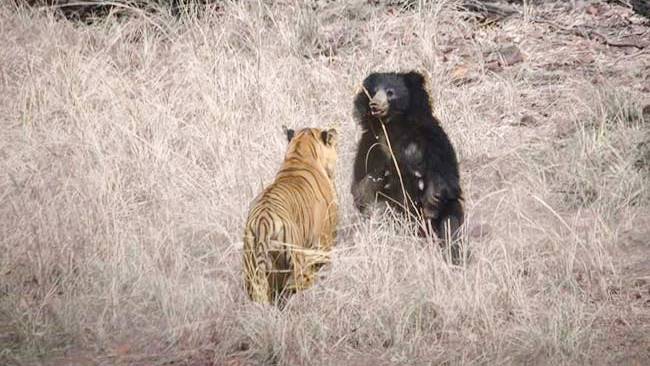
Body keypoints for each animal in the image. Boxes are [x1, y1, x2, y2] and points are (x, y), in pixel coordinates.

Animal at [240, 126, 336, 306]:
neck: (299, 152)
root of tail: (263, 222)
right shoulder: (324, 241)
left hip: (252, 271)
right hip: (296, 260)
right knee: (297, 284)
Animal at [350, 69, 466, 264]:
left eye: (390, 92)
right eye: (373, 92)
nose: (374, 104)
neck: (392, 125)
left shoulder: (431, 137)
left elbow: (446, 175)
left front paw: (431, 200)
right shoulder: (370, 145)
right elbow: (360, 186)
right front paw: (380, 178)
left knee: (451, 224)